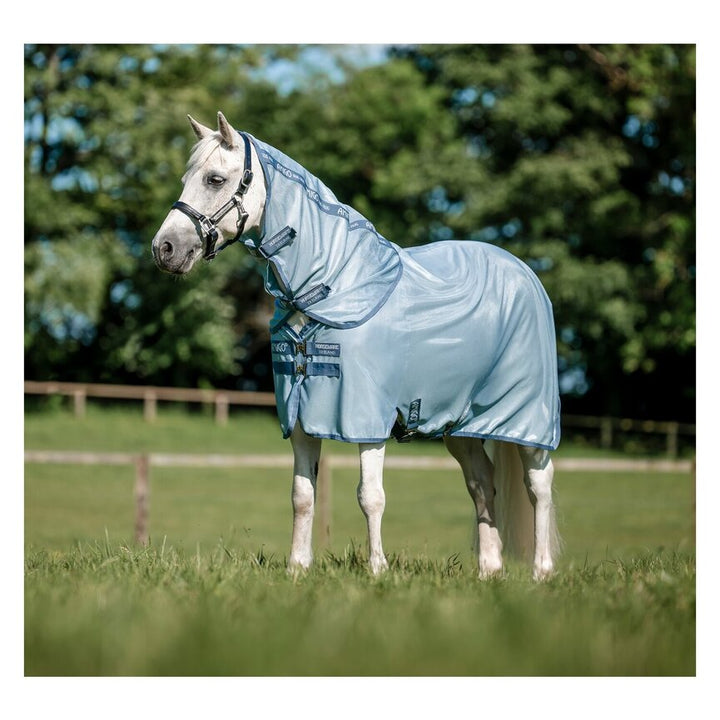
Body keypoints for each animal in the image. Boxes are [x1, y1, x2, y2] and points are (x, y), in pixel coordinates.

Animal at [152, 111, 562, 580]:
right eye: (187, 178)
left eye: (216, 179)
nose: (165, 248)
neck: (331, 285)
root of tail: (525, 274)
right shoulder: (299, 417)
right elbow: (302, 495)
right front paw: (297, 568)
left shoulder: (367, 419)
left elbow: (371, 496)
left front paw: (377, 570)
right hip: (459, 425)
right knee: (482, 484)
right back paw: (489, 571)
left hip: (528, 419)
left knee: (538, 487)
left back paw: (541, 572)